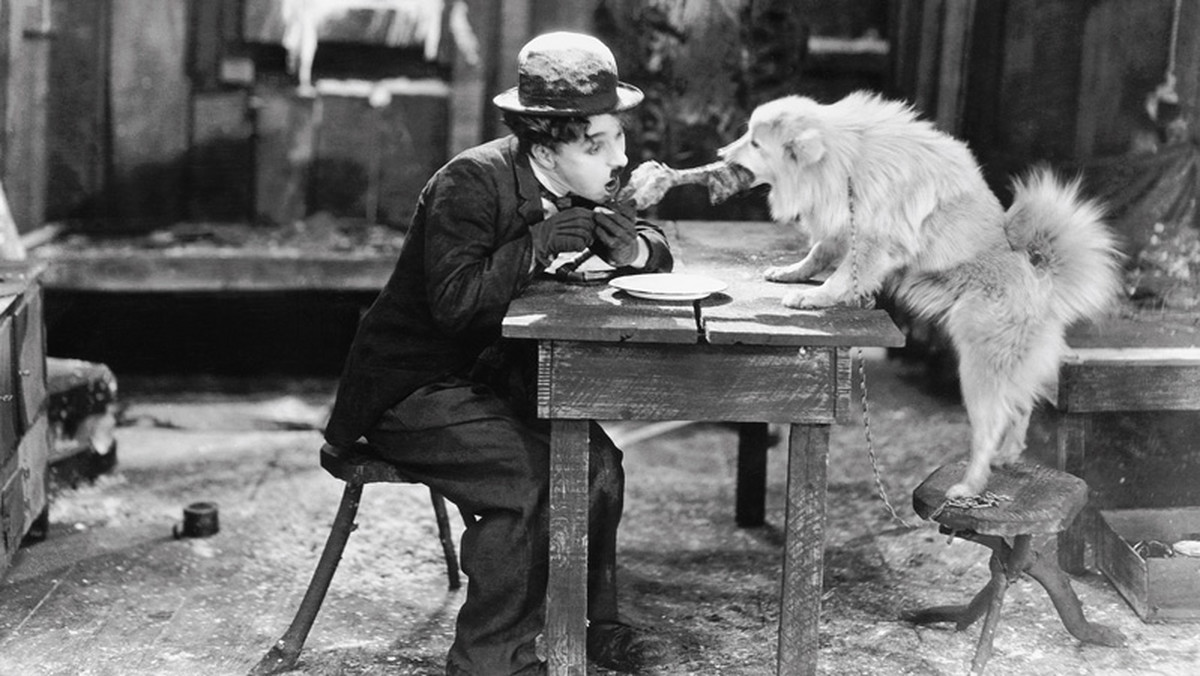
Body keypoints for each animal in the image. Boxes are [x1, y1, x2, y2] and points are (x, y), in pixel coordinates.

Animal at [715, 91, 1118, 497]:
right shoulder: (843, 231)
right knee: (1019, 410)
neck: (846, 160)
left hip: (978, 369)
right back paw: (1006, 457)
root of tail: (1041, 275)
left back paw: (970, 484)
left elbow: (841, 276)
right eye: (747, 135)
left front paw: (814, 299)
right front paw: (792, 274)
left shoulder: (874, 243)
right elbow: (819, 253)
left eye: (754, 144)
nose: (721, 153)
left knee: (992, 425)